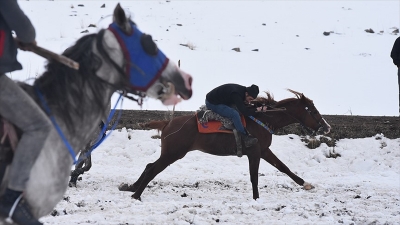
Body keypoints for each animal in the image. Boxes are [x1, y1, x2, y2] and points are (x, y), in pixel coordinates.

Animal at [0, 3, 194, 220]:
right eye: (146, 46)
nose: (181, 83)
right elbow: (83, 163)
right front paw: (74, 175)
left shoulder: (89, 143)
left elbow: (86, 164)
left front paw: (75, 175)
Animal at [119, 89, 332, 200]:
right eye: (313, 111)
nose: (327, 127)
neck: (261, 119)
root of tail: (167, 123)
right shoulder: (254, 152)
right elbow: (254, 177)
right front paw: (256, 198)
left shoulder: (264, 150)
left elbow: (284, 167)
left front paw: (305, 184)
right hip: (173, 153)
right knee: (153, 169)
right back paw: (136, 194)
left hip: (170, 153)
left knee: (149, 166)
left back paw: (131, 187)